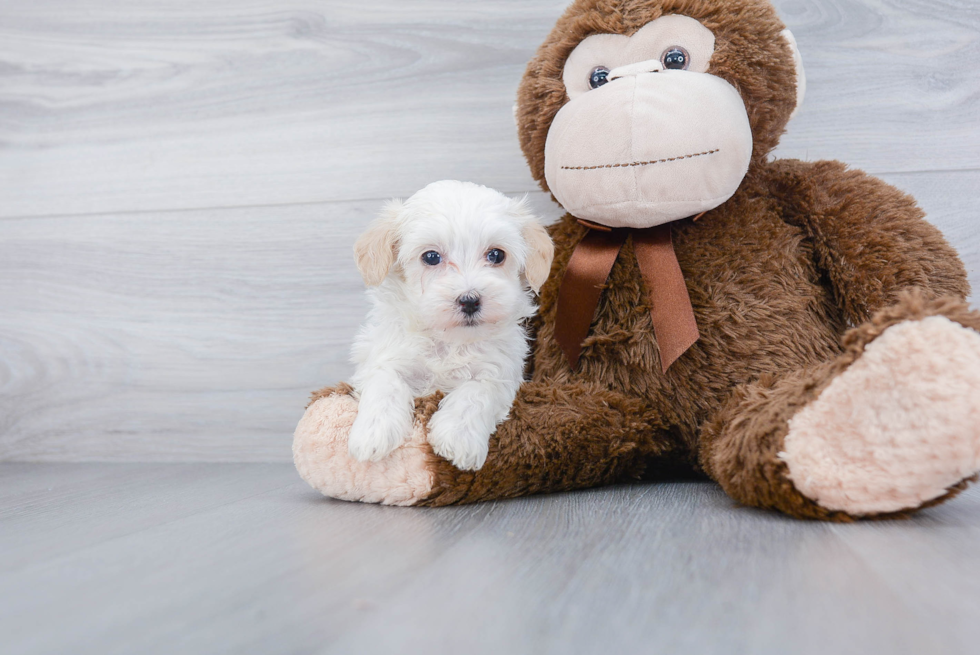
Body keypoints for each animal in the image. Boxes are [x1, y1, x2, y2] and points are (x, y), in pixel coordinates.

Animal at [348, 179, 556, 472]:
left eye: (496, 255)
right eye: (431, 257)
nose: (470, 300)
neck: (450, 341)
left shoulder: (500, 371)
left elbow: (476, 393)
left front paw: (459, 438)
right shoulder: (385, 355)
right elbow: (385, 384)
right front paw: (373, 433)